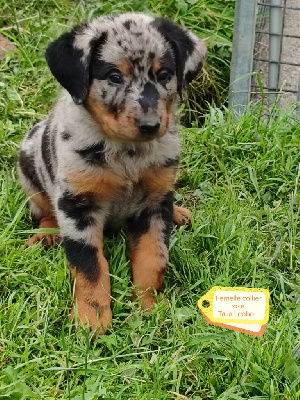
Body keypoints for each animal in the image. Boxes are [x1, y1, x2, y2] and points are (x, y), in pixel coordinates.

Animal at [18, 12, 206, 332]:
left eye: (164, 75)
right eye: (114, 76)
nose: (150, 125)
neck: (126, 154)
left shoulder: (154, 203)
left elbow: (152, 258)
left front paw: (148, 308)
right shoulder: (77, 205)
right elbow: (90, 266)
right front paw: (91, 319)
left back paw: (179, 212)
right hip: (28, 166)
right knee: (43, 209)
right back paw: (45, 234)